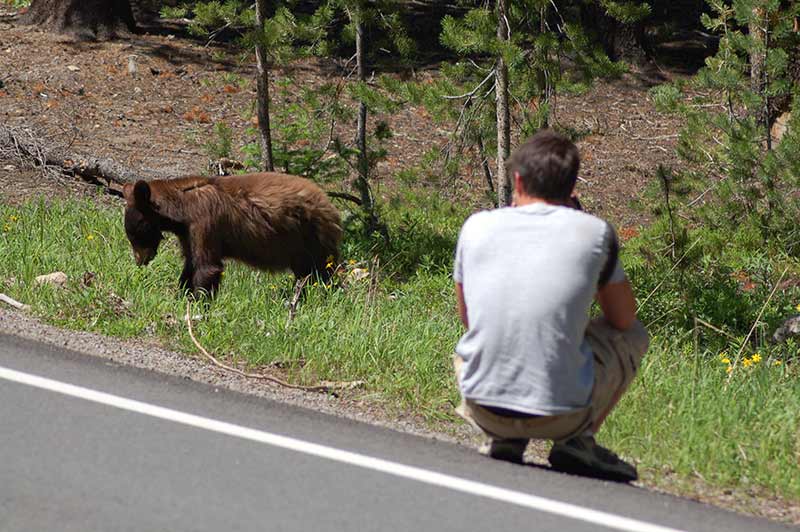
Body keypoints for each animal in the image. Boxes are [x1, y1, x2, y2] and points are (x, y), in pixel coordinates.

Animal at [123, 171, 342, 298]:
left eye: (136, 234)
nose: (140, 260)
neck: (182, 209)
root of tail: (329, 203)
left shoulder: (205, 222)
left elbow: (207, 266)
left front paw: (198, 305)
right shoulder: (187, 233)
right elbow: (191, 263)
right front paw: (181, 295)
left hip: (313, 237)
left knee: (322, 272)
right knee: (307, 275)